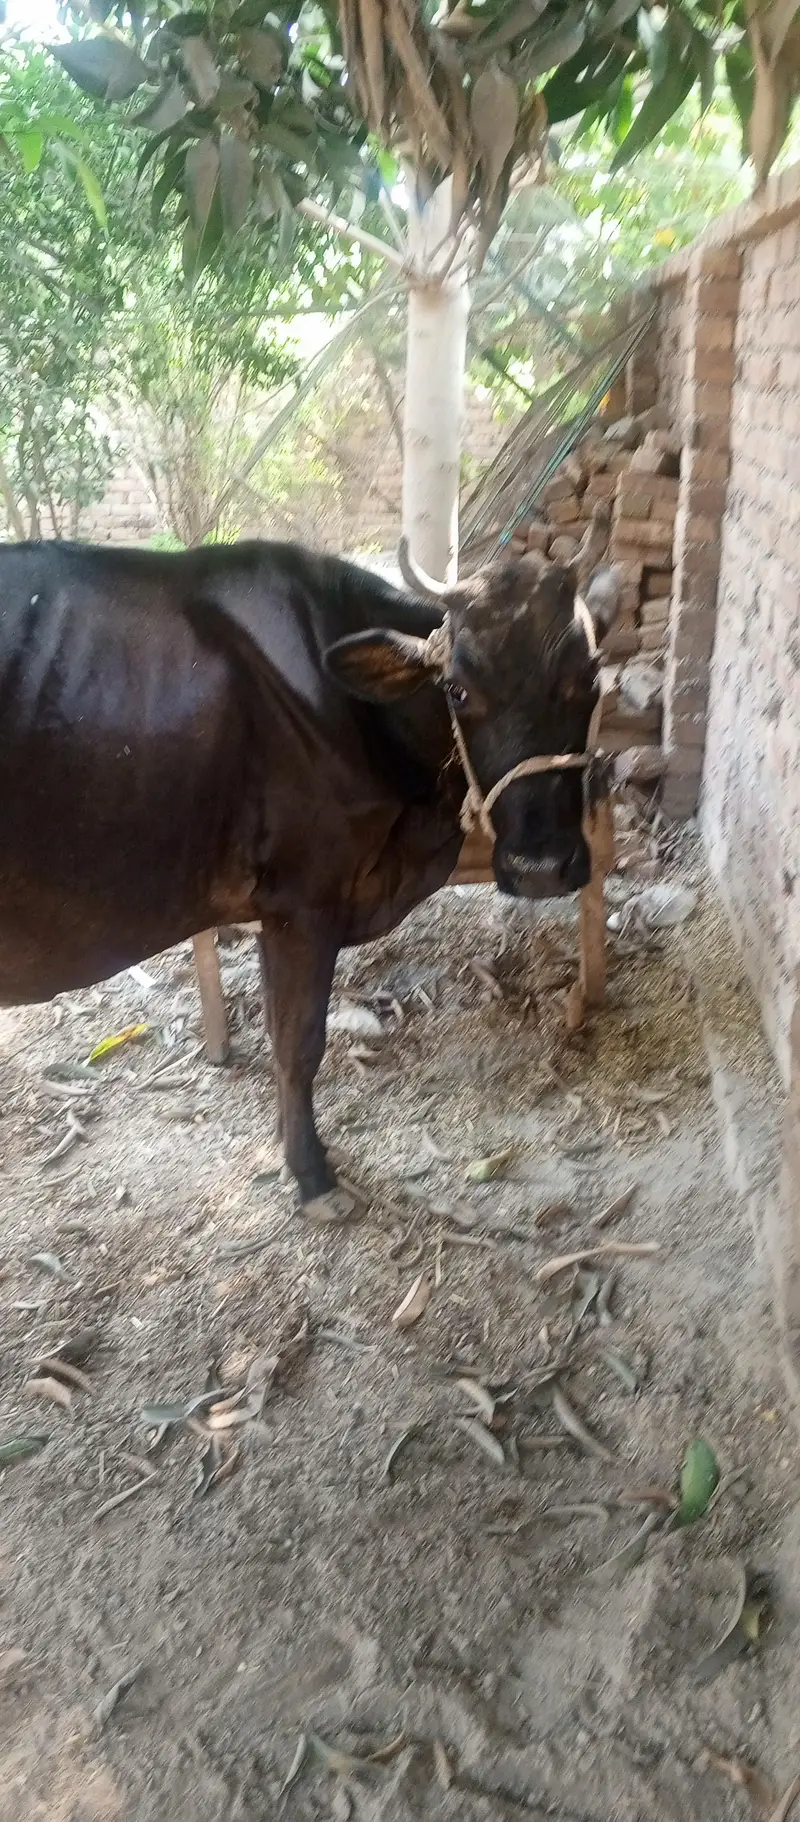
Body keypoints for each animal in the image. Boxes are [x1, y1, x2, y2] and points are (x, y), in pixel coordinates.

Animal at [0, 537, 620, 1221]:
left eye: (590, 676)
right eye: (456, 688)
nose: (539, 867)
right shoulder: (303, 900)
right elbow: (297, 1044)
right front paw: (311, 1174)